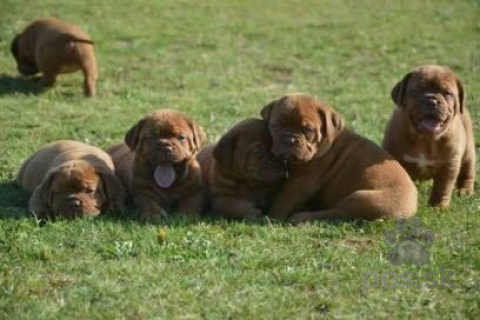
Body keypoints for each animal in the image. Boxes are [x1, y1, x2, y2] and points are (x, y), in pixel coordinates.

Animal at [260, 92, 418, 222]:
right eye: (276, 125)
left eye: (308, 130)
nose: (289, 139)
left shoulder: (301, 181)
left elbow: (285, 199)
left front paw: (271, 217)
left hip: (363, 200)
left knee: (334, 213)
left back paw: (302, 217)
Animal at [384, 64, 474, 208]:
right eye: (416, 90)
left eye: (447, 93)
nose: (432, 101)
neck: (425, 139)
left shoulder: (449, 164)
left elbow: (442, 188)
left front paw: (438, 207)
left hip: (468, 149)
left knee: (468, 170)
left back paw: (465, 190)